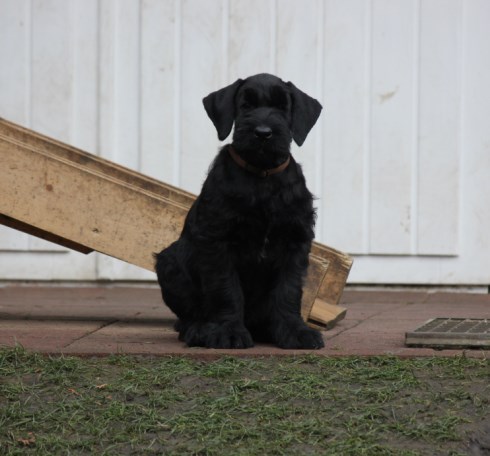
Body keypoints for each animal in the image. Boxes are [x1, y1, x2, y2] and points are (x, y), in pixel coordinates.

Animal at [157, 73, 324, 350]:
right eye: (246, 106)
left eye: (282, 107)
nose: (263, 133)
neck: (262, 175)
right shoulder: (218, 240)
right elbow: (226, 289)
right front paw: (228, 332)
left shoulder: (294, 240)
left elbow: (288, 290)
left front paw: (295, 331)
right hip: (169, 262)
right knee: (187, 318)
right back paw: (198, 330)